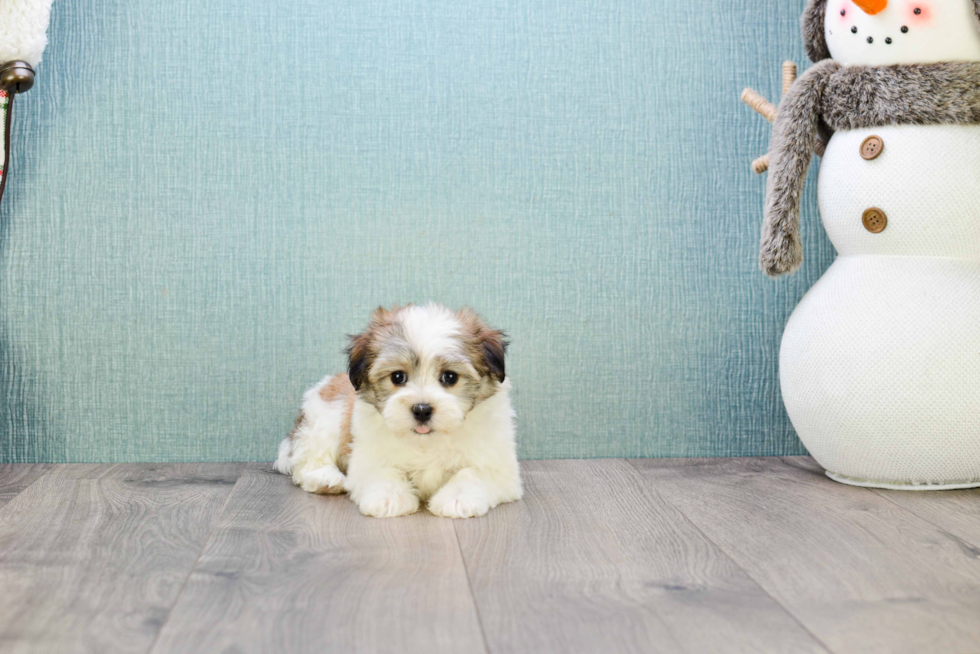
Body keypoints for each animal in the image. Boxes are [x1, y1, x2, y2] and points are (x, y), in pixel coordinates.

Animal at [272, 304, 524, 520]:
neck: (427, 441)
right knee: (307, 460)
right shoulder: (366, 456)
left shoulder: (499, 465)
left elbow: (473, 474)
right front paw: (388, 497)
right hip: (326, 416)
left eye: (450, 377)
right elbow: (384, 471)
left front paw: (458, 498)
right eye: (398, 377)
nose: (422, 410)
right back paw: (326, 478)